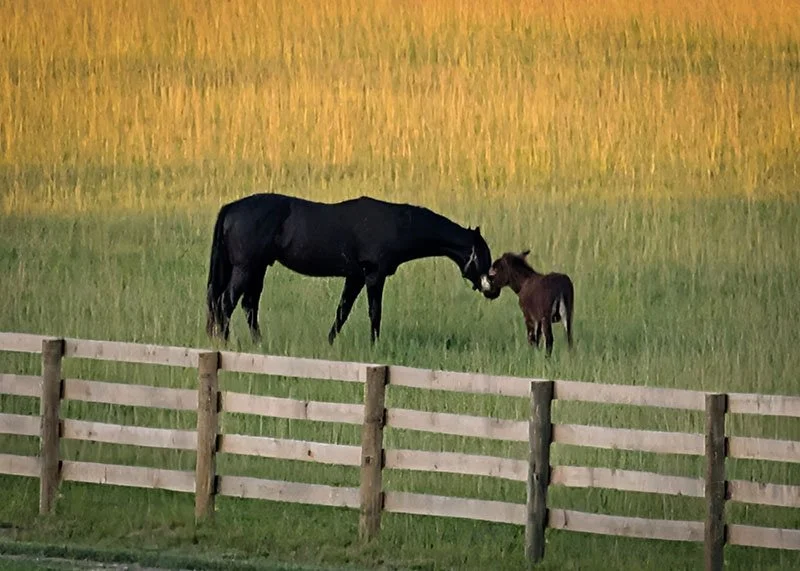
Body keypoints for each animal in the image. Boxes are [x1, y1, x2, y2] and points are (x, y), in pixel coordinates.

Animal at [205, 193, 495, 344]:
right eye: (483, 255)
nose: (492, 291)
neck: (398, 225)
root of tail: (231, 208)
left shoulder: (355, 278)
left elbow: (342, 312)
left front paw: (330, 342)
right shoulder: (373, 276)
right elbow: (374, 313)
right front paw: (374, 345)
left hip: (257, 268)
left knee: (248, 305)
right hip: (245, 268)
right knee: (226, 302)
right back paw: (225, 341)